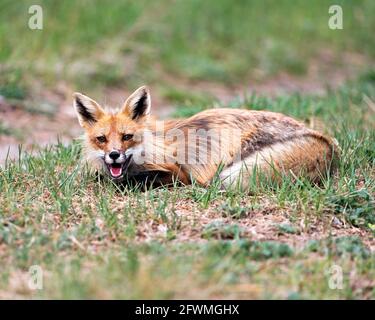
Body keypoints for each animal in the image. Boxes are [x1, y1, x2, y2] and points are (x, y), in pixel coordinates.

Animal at [72, 85, 340, 190]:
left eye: (127, 136)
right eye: (101, 139)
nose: (114, 155)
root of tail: (327, 143)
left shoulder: (179, 173)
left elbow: (133, 181)